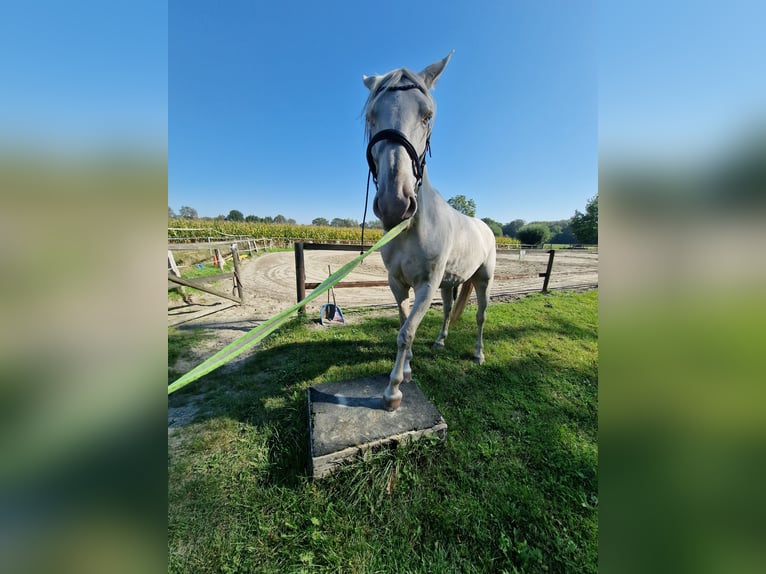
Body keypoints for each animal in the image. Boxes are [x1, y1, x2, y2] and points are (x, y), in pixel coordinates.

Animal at [364, 54, 500, 412]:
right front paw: (408, 368)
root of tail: (486, 228)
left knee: (480, 316)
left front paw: (393, 391)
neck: (412, 227)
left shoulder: (426, 285)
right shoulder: (397, 283)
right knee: (450, 310)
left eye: (427, 116)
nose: (395, 203)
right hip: (450, 284)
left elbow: (407, 332)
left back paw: (479, 354)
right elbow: (403, 323)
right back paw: (440, 341)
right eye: (371, 116)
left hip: (483, 279)